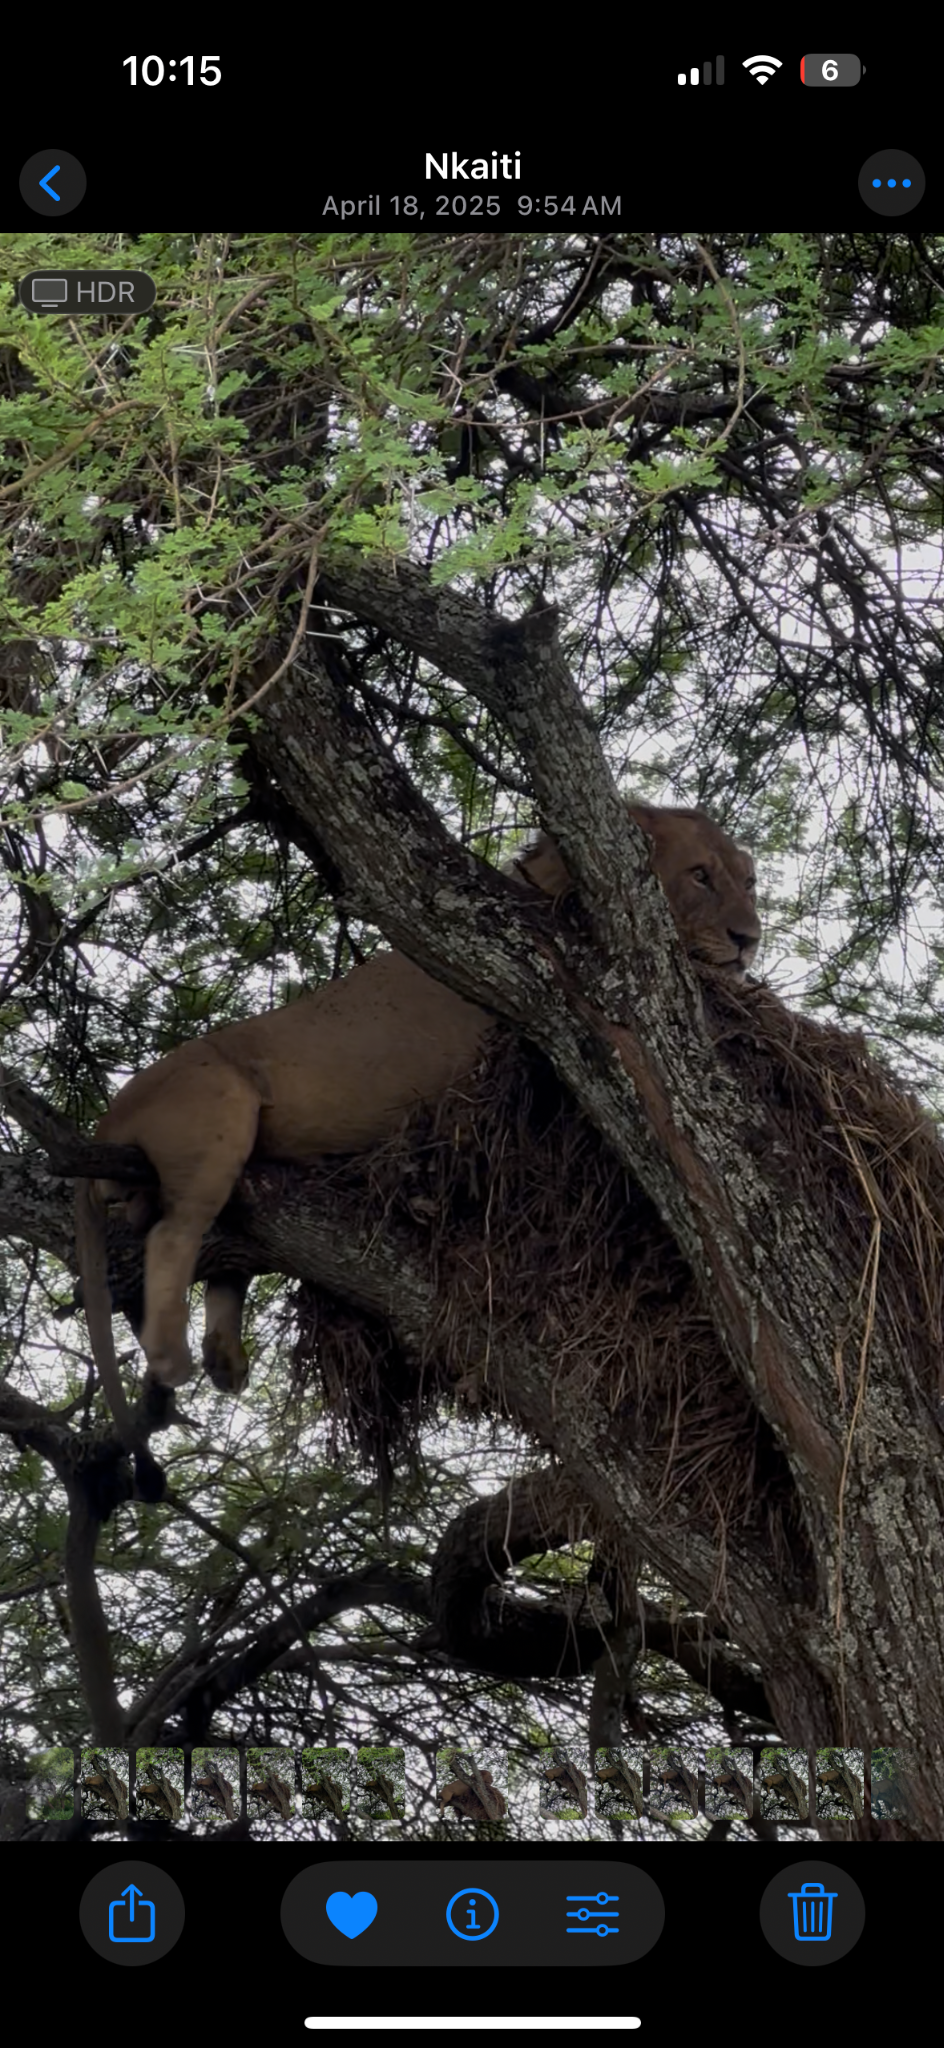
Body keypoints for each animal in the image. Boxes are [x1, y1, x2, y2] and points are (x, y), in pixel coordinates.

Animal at [75, 803, 759, 1420]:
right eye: (700, 875)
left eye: (746, 881)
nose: (749, 940)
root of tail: (105, 1119)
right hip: (218, 1107)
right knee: (174, 1234)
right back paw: (171, 1355)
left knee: (222, 1261)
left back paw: (225, 1359)